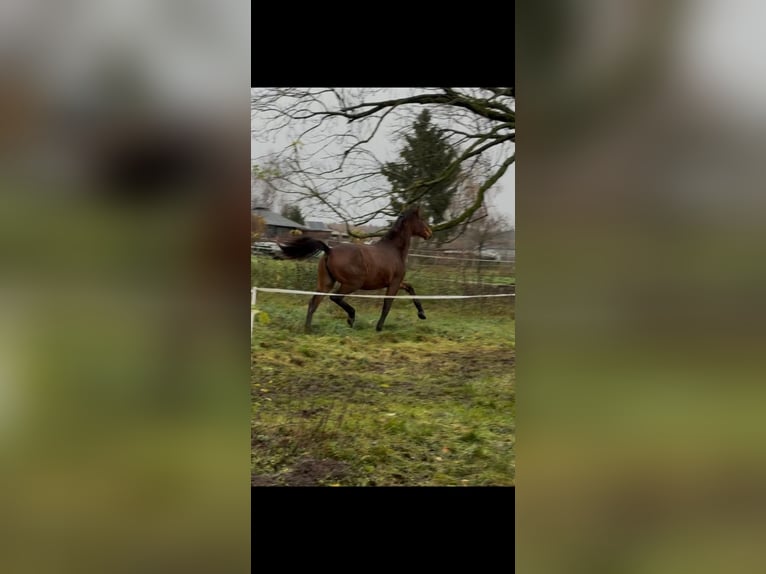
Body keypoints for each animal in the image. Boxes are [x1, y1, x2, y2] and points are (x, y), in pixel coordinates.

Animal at [276, 205, 433, 332]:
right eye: (422, 219)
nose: (429, 233)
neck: (394, 250)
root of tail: (329, 250)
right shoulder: (394, 283)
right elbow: (387, 304)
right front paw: (379, 327)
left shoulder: (396, 282)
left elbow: (410, 288)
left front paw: (422, 314)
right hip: (353, 283)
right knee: (335, 297)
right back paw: (351, 317)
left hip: (326, 283)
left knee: (314, 303)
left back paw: (308, 329)